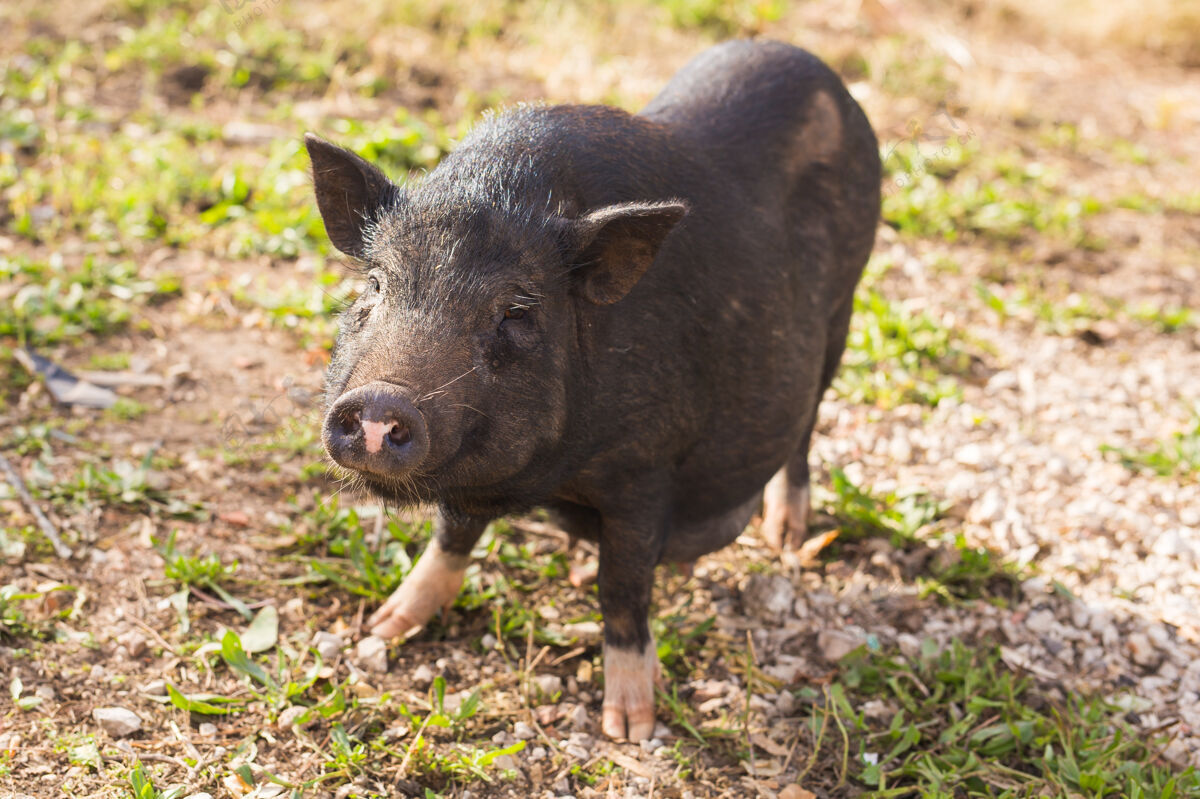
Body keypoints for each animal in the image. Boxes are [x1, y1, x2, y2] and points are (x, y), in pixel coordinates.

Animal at [304, 40, 878, 739]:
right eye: (377, 284)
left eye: (516, 311)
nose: (381, 401)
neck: (556, 475)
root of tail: (818, 68)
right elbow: (452, 534)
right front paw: (382, 630)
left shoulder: (647, 467)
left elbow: (622, 588)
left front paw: (629, 727)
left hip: (844, 310)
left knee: (806, 426)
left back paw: (787, 539)